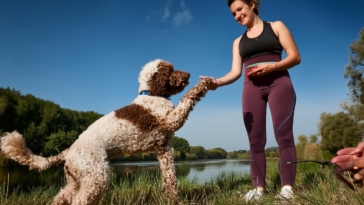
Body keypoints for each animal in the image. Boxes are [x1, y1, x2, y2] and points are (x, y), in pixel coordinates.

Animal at [0, 58, 210, 204]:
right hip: (96, 177)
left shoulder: (163, 148)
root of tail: (69, 150)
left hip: (76, 180)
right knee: (78, 201)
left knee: (60, 198)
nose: (188, 74)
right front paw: (204, 84)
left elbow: (170, 181)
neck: (152, 95)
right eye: (171, 70)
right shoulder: (171, 121)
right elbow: (188, 98)